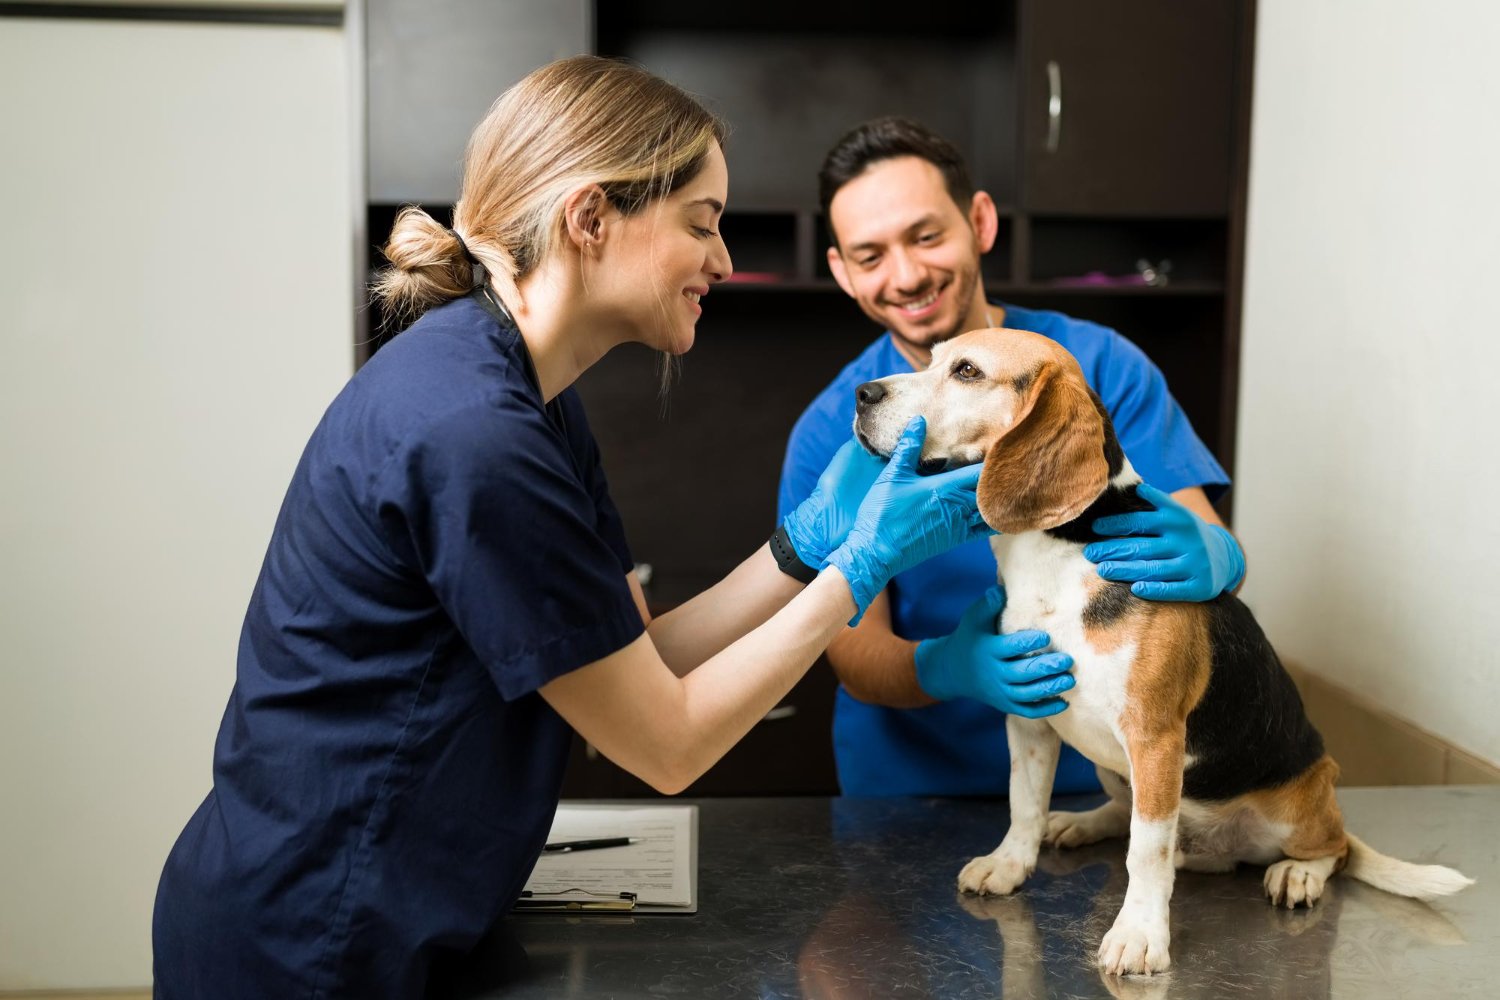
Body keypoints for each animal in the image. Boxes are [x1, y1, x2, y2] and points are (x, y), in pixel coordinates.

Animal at [852, 328, 1470, 977]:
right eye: (930, 359)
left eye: (967, 371)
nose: (862, 393)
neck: (1057, 554)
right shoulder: (1029, 716)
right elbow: (1024, 803)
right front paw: (1011, 863)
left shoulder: (1154, 738)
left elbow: (1145, 853)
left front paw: (1139, 934)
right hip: (1115, 763)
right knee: (1126, 815)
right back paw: (1080, 822)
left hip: (1294, 804)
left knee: (1334, 850)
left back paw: (1298, 873)